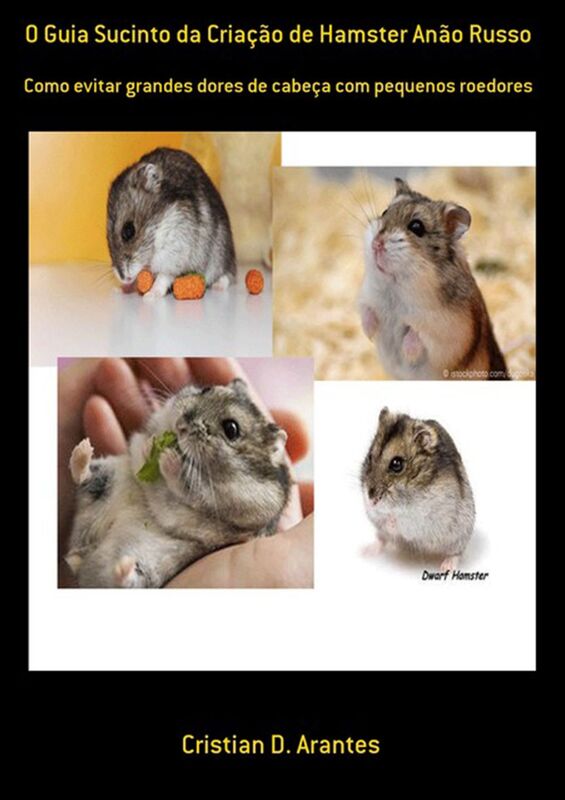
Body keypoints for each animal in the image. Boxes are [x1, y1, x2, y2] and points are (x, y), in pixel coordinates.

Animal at [65, 379, 291, 588]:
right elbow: (146, 440)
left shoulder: (235, 501)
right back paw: (82, 451)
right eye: (206, 389)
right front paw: (152, 444)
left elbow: (188, 486)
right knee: (84, 477)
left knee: (126, 581)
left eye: (231, 429)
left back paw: (124, 567)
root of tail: (82, 554)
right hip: (107, 477)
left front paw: (167, 456)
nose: (181, 425)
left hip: (149, 568)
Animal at [107, 147, 236, 299]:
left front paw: (149, 297)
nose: (123, 278)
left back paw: (218, 286)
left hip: (220, 255)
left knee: (227, 275)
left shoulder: (174, 255)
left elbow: (163, 278)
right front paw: (121, 288)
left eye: (128, 231)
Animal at [358, 178, 509, 380]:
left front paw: (408, 353)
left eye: (416, 227)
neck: (395, 287)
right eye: (384, 212)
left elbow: (417, 335)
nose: (376, 244)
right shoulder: (366, 297)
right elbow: (367, 312)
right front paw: (370, 334)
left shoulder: (443, 333)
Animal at [360, 407, 475, 570]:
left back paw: (446, 567)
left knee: (456, 553)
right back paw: (366, 552)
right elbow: (381, 520)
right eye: (370, 456)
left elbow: (402, 521)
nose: (371, 500)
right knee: (382, 540)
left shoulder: (423, 518)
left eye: (397, 464)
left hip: (459, 536)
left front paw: (392, 520)